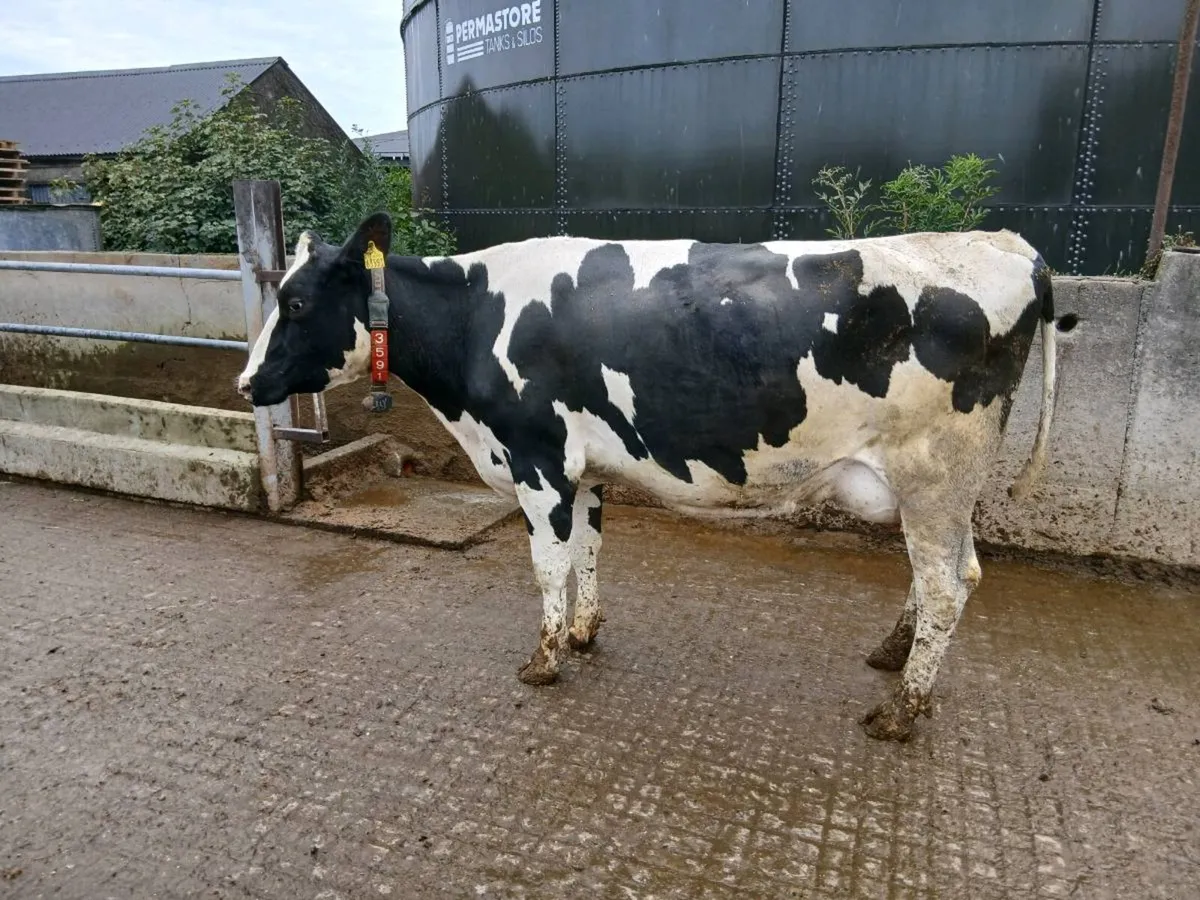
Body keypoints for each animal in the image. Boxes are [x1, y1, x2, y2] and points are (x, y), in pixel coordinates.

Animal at [237, 212, 1058, 742]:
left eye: (297, 301)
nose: (245, 383)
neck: (474, 321)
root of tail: (1005, 243)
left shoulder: (537, 459)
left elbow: (547, 565)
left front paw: (544, 659)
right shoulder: (584, 469)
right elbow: (589, 552)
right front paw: (582, 632)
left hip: (934, 475)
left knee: (948, 584)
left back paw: (900, 710)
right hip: (945, 486)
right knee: (951, 573)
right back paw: (893, 654)